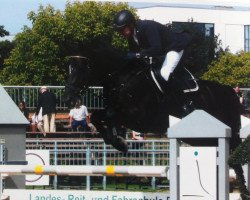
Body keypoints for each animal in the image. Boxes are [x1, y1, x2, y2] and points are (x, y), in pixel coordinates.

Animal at [63, 42, 249, 198]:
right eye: (69, 68)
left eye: (82, 69)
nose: (68, 98)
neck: (122, 79)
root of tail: (231, 92)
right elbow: (97, 116)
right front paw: (118, 141)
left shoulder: (140, 118)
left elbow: (108, 115)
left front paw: (120, 142)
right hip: (201, 139)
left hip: (229, 133)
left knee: (236, 159)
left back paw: (244, 192)